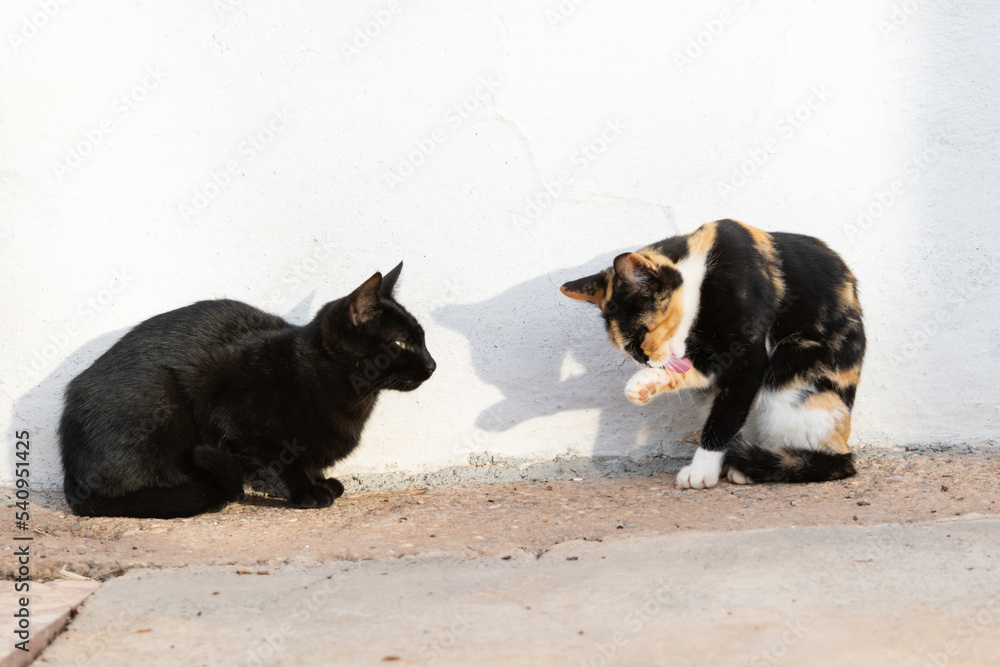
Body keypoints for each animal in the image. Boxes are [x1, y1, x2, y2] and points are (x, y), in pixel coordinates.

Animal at [58, 264, 434, 520]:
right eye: (402, 343)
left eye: (423, 338)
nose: (433, 364)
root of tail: (73, 484)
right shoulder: (232, 409)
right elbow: (283, 458)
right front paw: (307, 491)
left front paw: (322, 481)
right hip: (162, 399)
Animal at [564, 222, 868, 488]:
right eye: (626, 349)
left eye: (642, 334)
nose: (644, 360)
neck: (703, 272)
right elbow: (695, 373)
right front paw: (645, 384)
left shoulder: (748, 357)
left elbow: (725, 416)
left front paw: (702, 469)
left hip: (795, 373)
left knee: (824, 460)